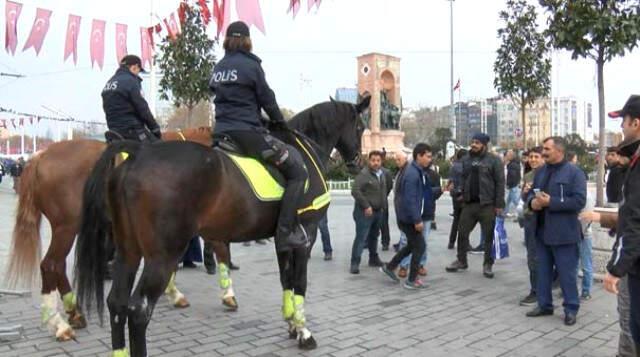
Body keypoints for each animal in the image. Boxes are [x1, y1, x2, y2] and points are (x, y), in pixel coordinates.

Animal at [3, 127, 212, 340]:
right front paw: (175, 293)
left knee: (58, 266)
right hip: (66, 227)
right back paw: (59, 324)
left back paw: (74, 313)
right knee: (50, 265)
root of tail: (40, 156)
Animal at [74, 98, 370, 356]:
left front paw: (290, 323)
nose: (358, 161)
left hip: (129, 251)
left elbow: (285, 279)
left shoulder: (282, 239)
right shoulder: (306, 235)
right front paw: (303, 332)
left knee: (117, 302)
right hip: (163, 256)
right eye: (360, 127)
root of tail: (138, 154)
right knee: (138, 310)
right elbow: (299, 283)